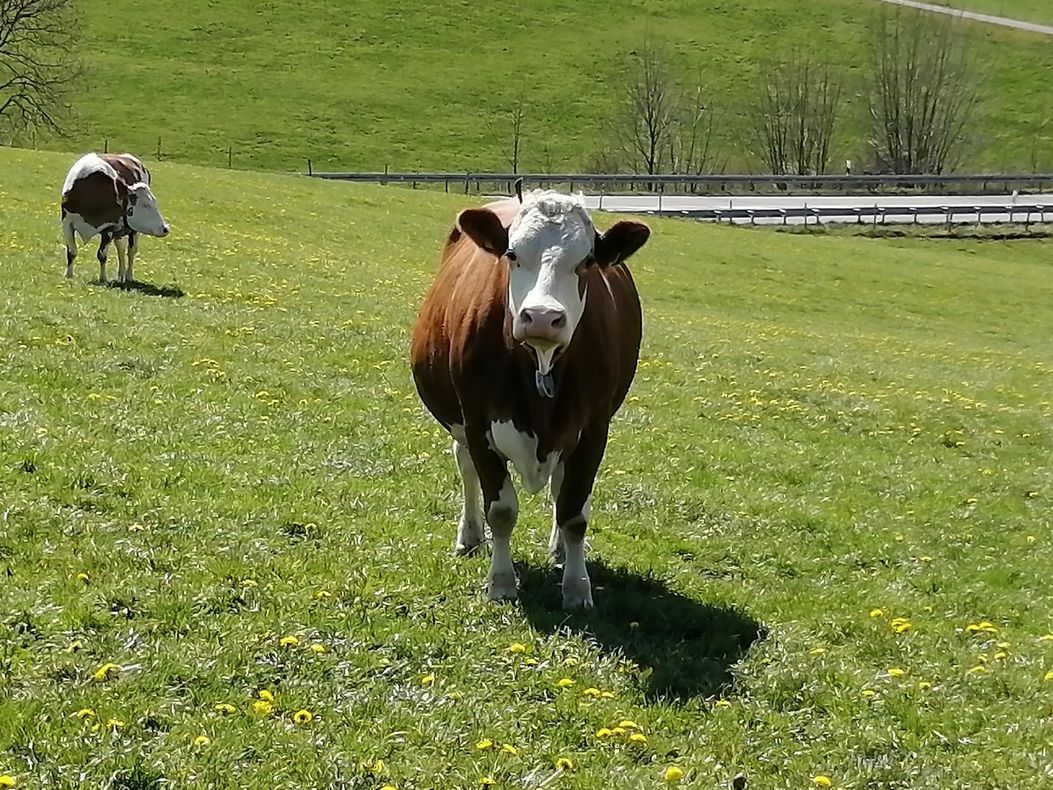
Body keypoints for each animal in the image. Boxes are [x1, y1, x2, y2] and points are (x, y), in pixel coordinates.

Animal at [61, 152, 170, 283]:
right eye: (145, 205)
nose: (165, 228)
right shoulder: (67, 222)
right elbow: (72, 251)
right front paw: (68, 275)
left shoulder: (109, 227)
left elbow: (102, 255)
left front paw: (103, 278)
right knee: (121, 249)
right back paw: (121, 275)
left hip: (132, 230)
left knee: (131, 251)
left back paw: (128, 276)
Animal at [410, 186, 651, 609]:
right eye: (512, 254)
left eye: (587, 261)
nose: (540, 316)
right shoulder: (478, 423)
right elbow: (501, 510)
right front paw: (501, 582)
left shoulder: (594, 429)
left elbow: (574, 512)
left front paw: (577, 587)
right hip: (460, 423)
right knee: (465, 466)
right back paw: (469, 536)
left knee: (561, 489)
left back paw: (559, 551)